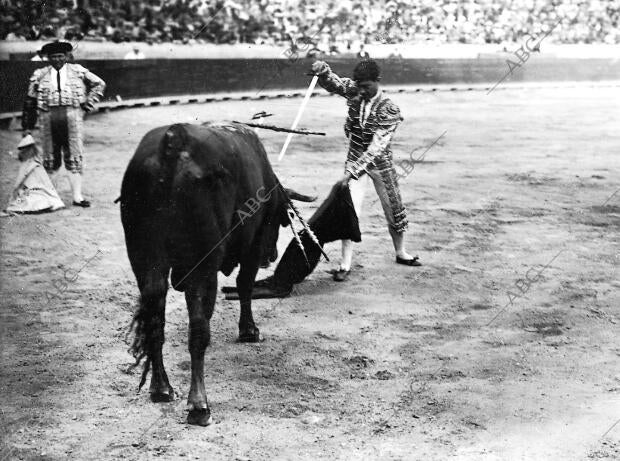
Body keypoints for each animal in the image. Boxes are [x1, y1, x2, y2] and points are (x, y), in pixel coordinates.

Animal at [120, 121, 314, 424]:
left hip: (145, 261)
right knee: (199, 329)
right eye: (283, 218)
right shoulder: (252, 246)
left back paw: (162, 388)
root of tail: (174, 141)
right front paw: (249, 331)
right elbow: (245, 284)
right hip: (203, 268)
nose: (271, 257)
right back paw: (199, 405)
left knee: (156, 321)